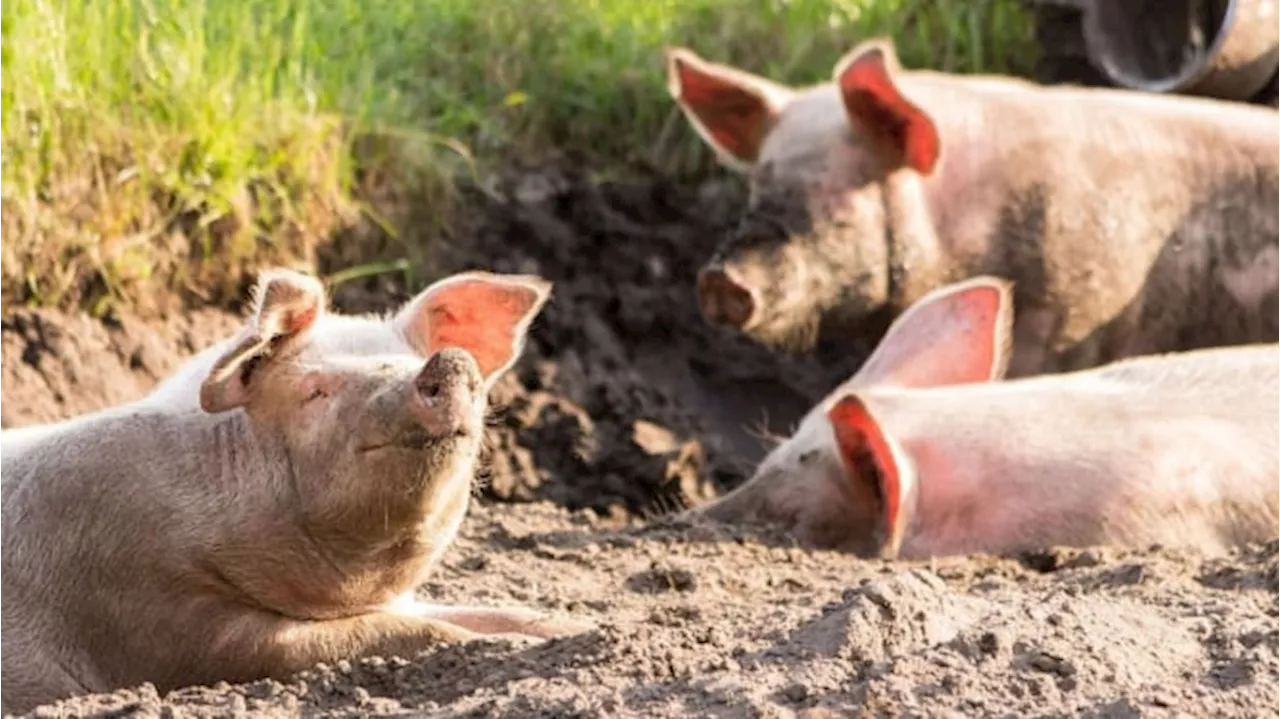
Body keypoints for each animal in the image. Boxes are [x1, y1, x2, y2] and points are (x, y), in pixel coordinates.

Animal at [0, 264, 588, 711]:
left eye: (406, 360)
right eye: (315, 391)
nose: (448, 361)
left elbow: (482, 612)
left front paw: (574, 628)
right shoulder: (157, 617)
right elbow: (397, 634)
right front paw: (509, 643)